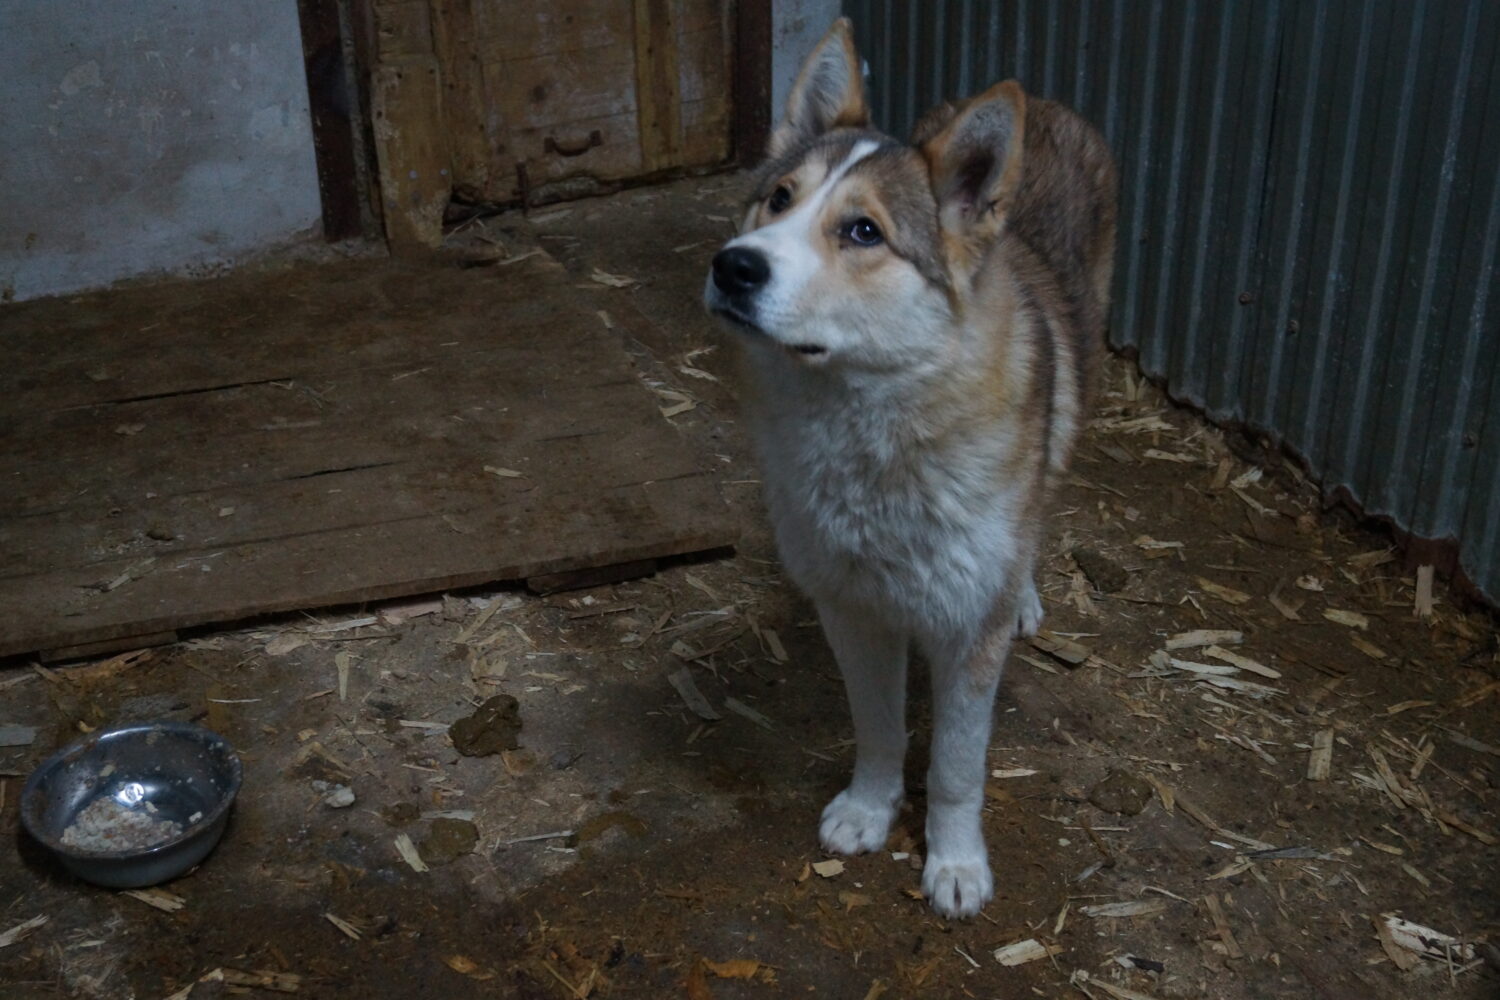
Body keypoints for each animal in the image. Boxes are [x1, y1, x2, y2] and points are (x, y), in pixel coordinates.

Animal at [702, 17, 1116, 923]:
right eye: (779, 198)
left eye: (864, 231)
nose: (733, 265)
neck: (872, 435)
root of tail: (1045, 101)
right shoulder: (854, 611)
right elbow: (881, 732)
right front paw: (870, 811)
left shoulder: (966, 636)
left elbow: (956, 768)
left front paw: (955, 863)